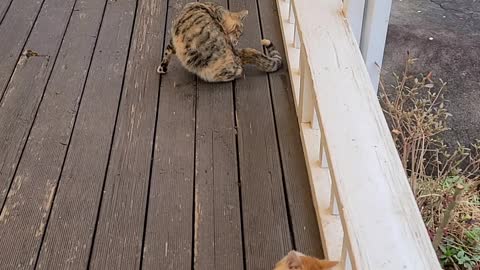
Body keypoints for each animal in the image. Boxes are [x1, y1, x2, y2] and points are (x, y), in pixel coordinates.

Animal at [156, 2, 284, 81]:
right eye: (239, 33)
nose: (236, 42)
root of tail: (238, 54)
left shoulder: (173, 37)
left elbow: (166, 54)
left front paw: (162, 68)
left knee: (238, 72)